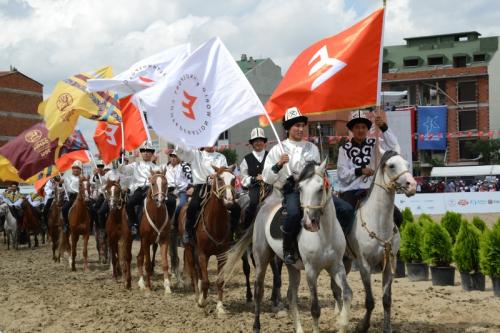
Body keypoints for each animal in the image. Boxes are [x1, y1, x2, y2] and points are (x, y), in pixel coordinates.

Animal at [182, 165, 236, 316]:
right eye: (219, 178)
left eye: (234, 179)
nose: (229, 201)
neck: (215, 223)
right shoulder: (202, 254)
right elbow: (206, 281)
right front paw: (202, 302)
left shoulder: (222, 255)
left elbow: (220, 281)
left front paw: (220, 308)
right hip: (189, 250)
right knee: (195, 275)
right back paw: (197, 299)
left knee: (200, 275)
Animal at [223, 158, 352, 332]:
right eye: (300, 188)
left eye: (320, 188)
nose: (308, 223)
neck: (324, 234)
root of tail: (263, 208)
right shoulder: (311, 271)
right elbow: (315, 309)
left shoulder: (337, 266)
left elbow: (347, 293)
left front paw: (342, 323)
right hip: (262, 259)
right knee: (258, 290)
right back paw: (256, 325)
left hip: (292, 267)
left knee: (291, 296)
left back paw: (298, 329)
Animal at [344, 149, 418, 332]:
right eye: (391, 165)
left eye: (407, 164)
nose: (412, 185)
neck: (378, 221)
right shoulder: (364, 266)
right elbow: (370, 301)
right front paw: (363, 326)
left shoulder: (389, 265)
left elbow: (386, 300)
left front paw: (387, 327)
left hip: (346, 261)